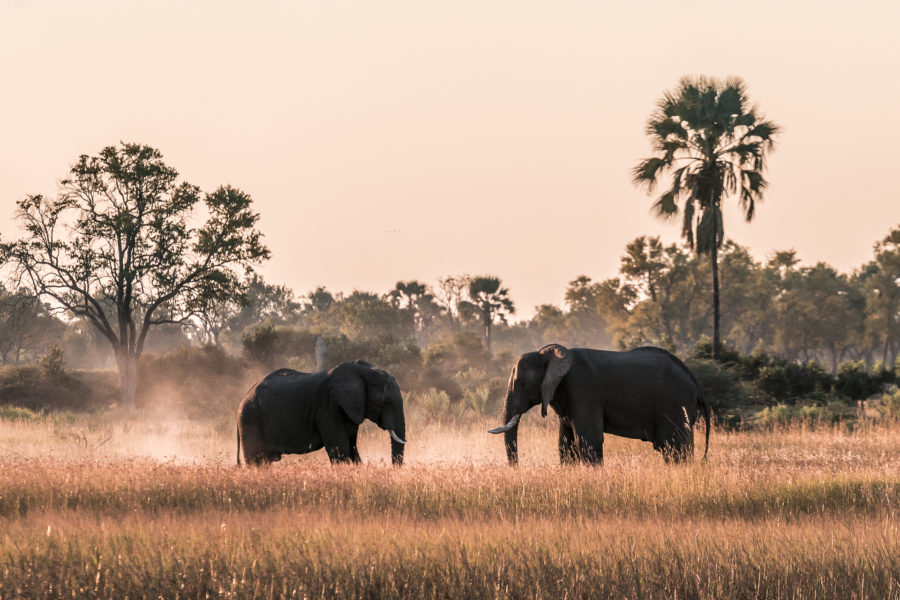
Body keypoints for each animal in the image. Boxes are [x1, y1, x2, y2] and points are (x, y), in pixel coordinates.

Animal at [239, 358, 408, 466]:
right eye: (384, 403)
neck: (364, 371)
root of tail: (244, 397)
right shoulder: (328, 407)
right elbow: (340, 450)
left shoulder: (349, 409)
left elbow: (352, 447)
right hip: (250, 418)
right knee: (257, 461)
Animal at [492, 344, 712, 466]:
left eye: (521, 384)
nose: (517, 468)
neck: (546, 354)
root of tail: (696, 385)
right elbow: (566, 444)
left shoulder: (583, 389)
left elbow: (588, 440)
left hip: (674, 405)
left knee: (675, 447)